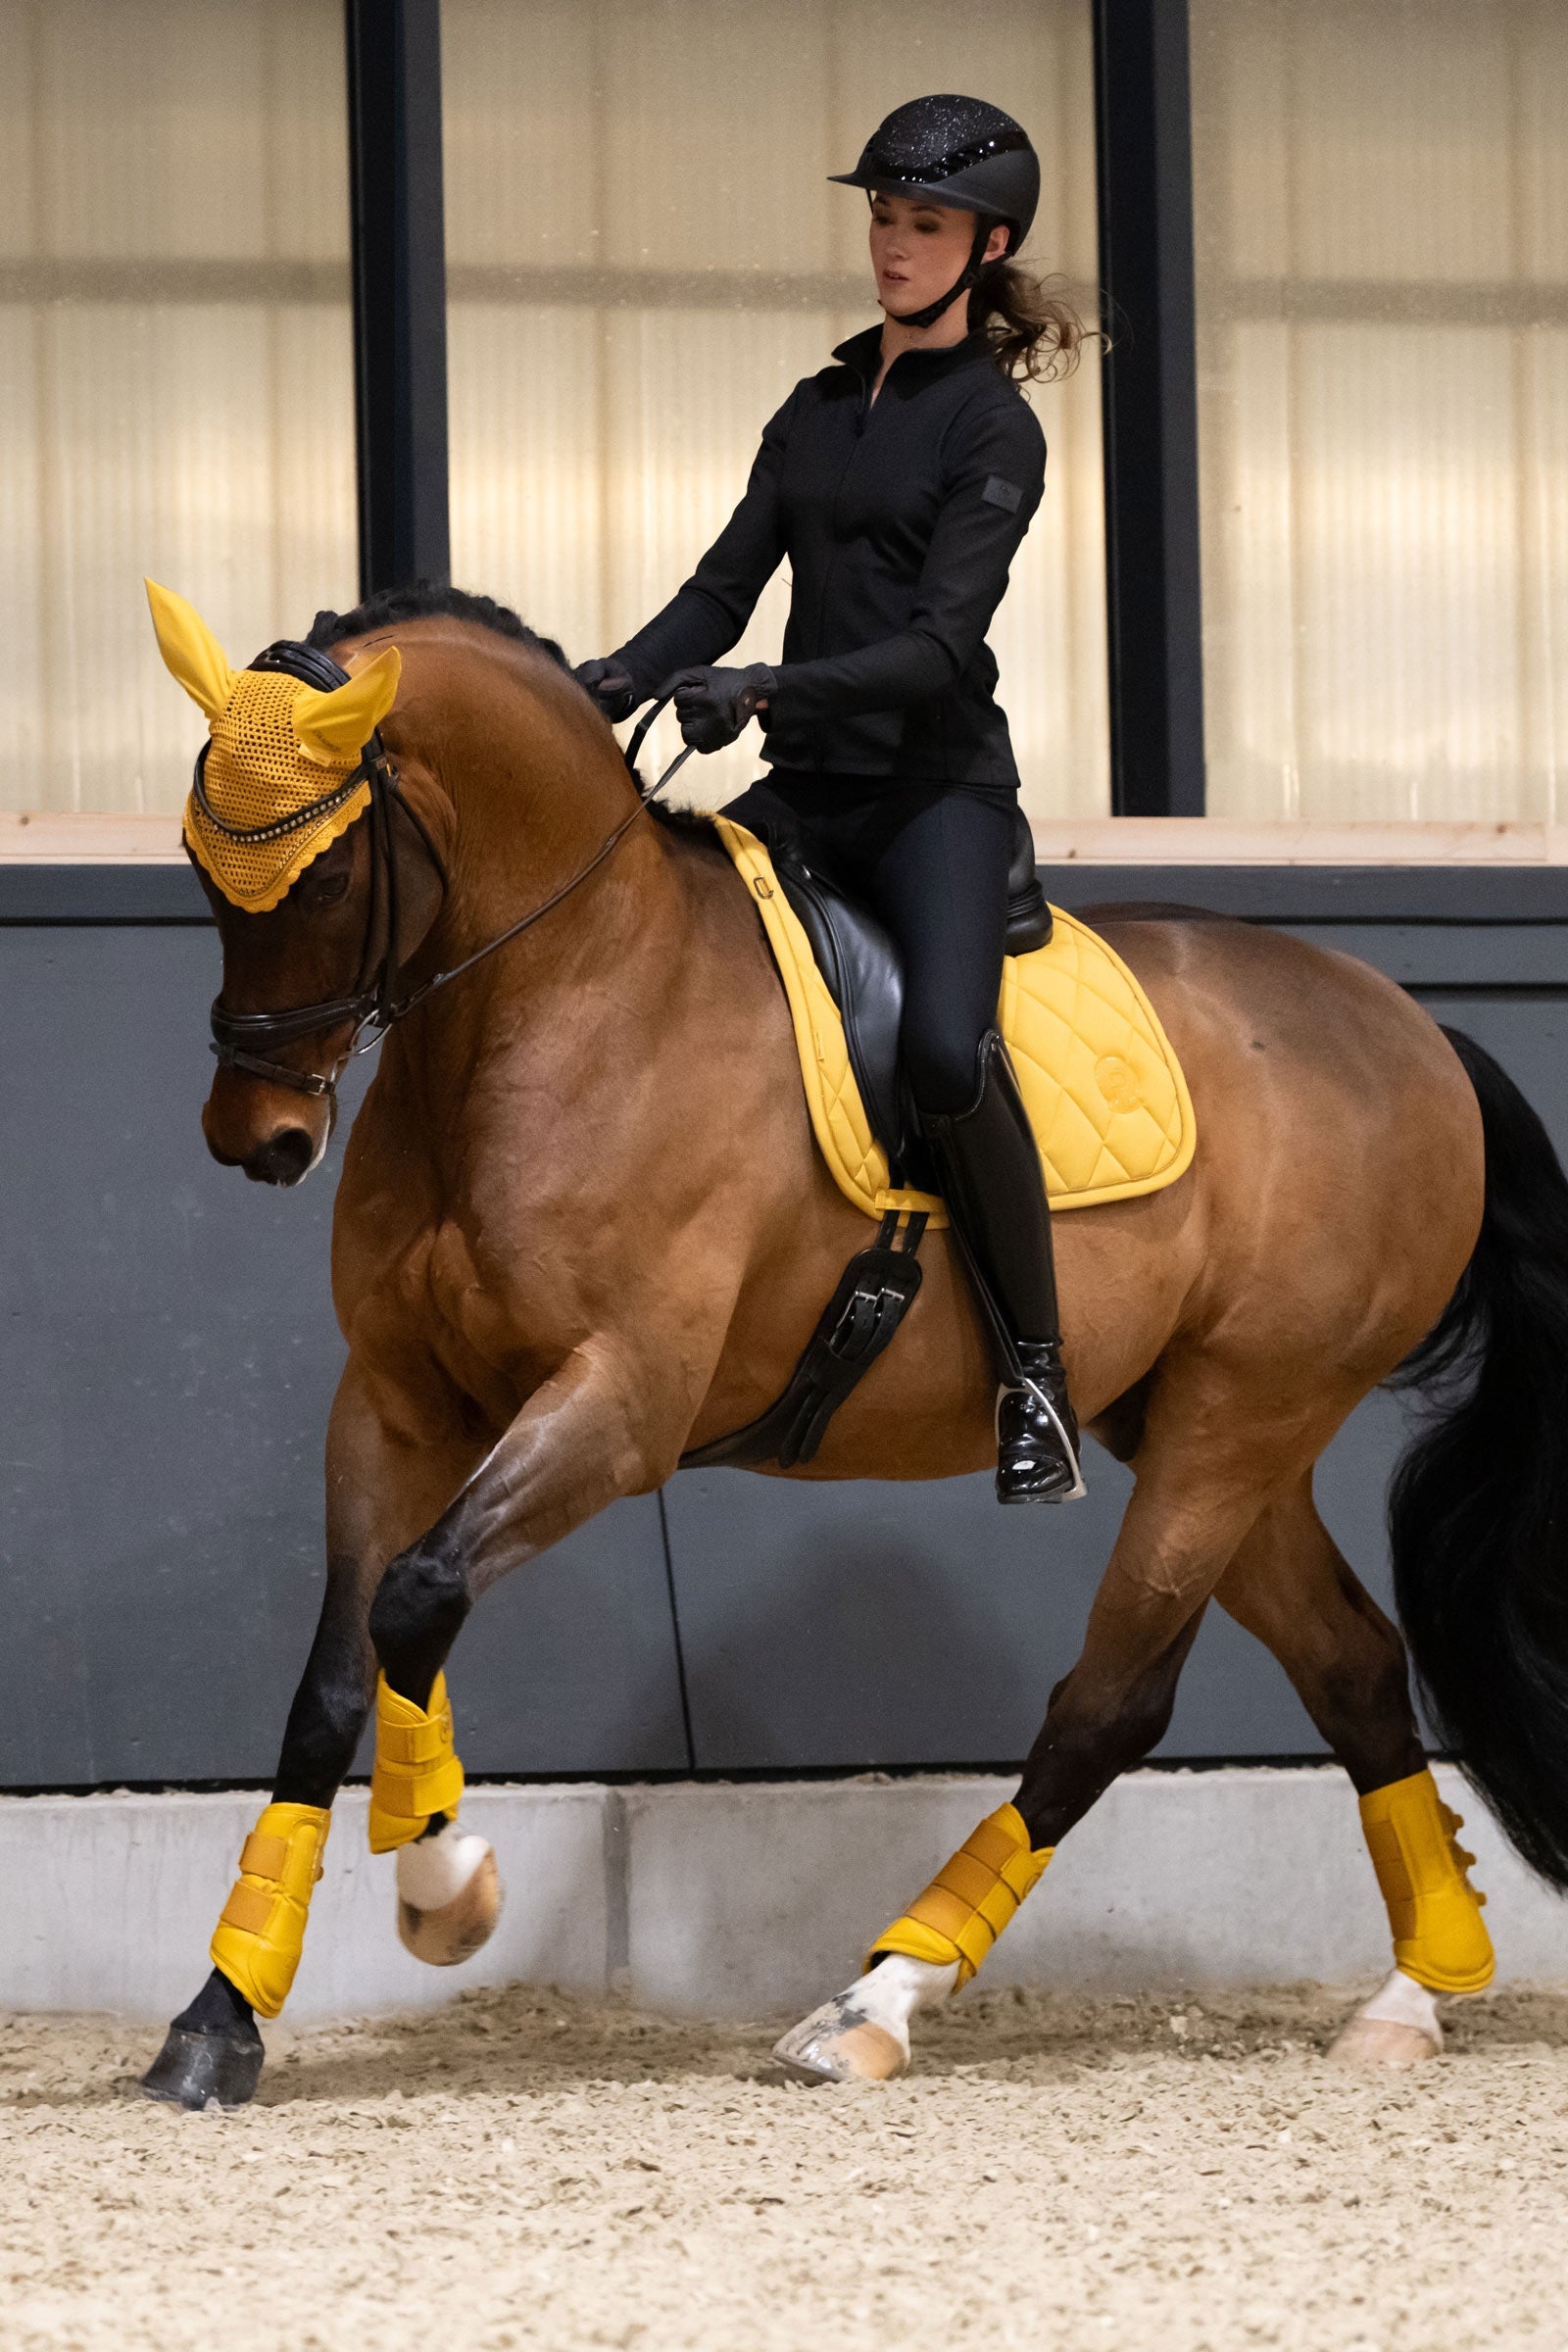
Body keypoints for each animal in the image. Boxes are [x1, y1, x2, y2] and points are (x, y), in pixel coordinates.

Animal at [138, 584, 1568, 2110]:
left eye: (325, 880)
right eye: (196, 863)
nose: (259, 1139)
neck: (563, 995)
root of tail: (1413, 1027)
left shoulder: (619, 1406)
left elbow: (417, 1595)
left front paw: (446, 1888)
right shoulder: (395, 1402)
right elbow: (338, 1670)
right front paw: (222, 2015)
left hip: (1238, 1425)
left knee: (1109, 1706)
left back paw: (878, 1999)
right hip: (1216, 1432)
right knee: (1351, 1667)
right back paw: (1417, 1995)